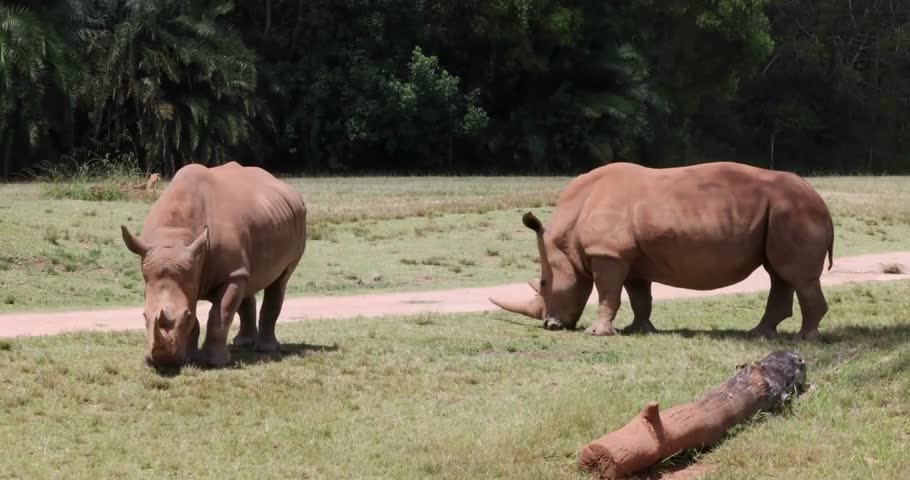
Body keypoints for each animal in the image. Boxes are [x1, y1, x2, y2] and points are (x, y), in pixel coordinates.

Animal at [121, 162, 307, 367]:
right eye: (144, 316)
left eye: (186, 316)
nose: (164, 362)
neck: (175, 237)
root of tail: (285, 187)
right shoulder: (185, 270)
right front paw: (190, 357)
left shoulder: (224, 272)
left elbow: (220, 313)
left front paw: (213, 362)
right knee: (247, 280)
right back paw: (243, 344)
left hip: (299, 217)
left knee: (280, 280)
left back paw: (267, 349)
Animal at [490, 162, 834, 340]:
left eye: (544, 283)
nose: (550, 325)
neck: (567, 232)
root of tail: (821, 202)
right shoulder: (629, 257)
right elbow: (639, 296)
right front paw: (638, 329)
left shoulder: (608, 253)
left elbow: (607, 294)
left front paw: (597, 333)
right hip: (784, 212)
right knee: (778, 273)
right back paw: (759, 334)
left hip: (794, 211)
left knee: (796, 276)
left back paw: (804, 339)